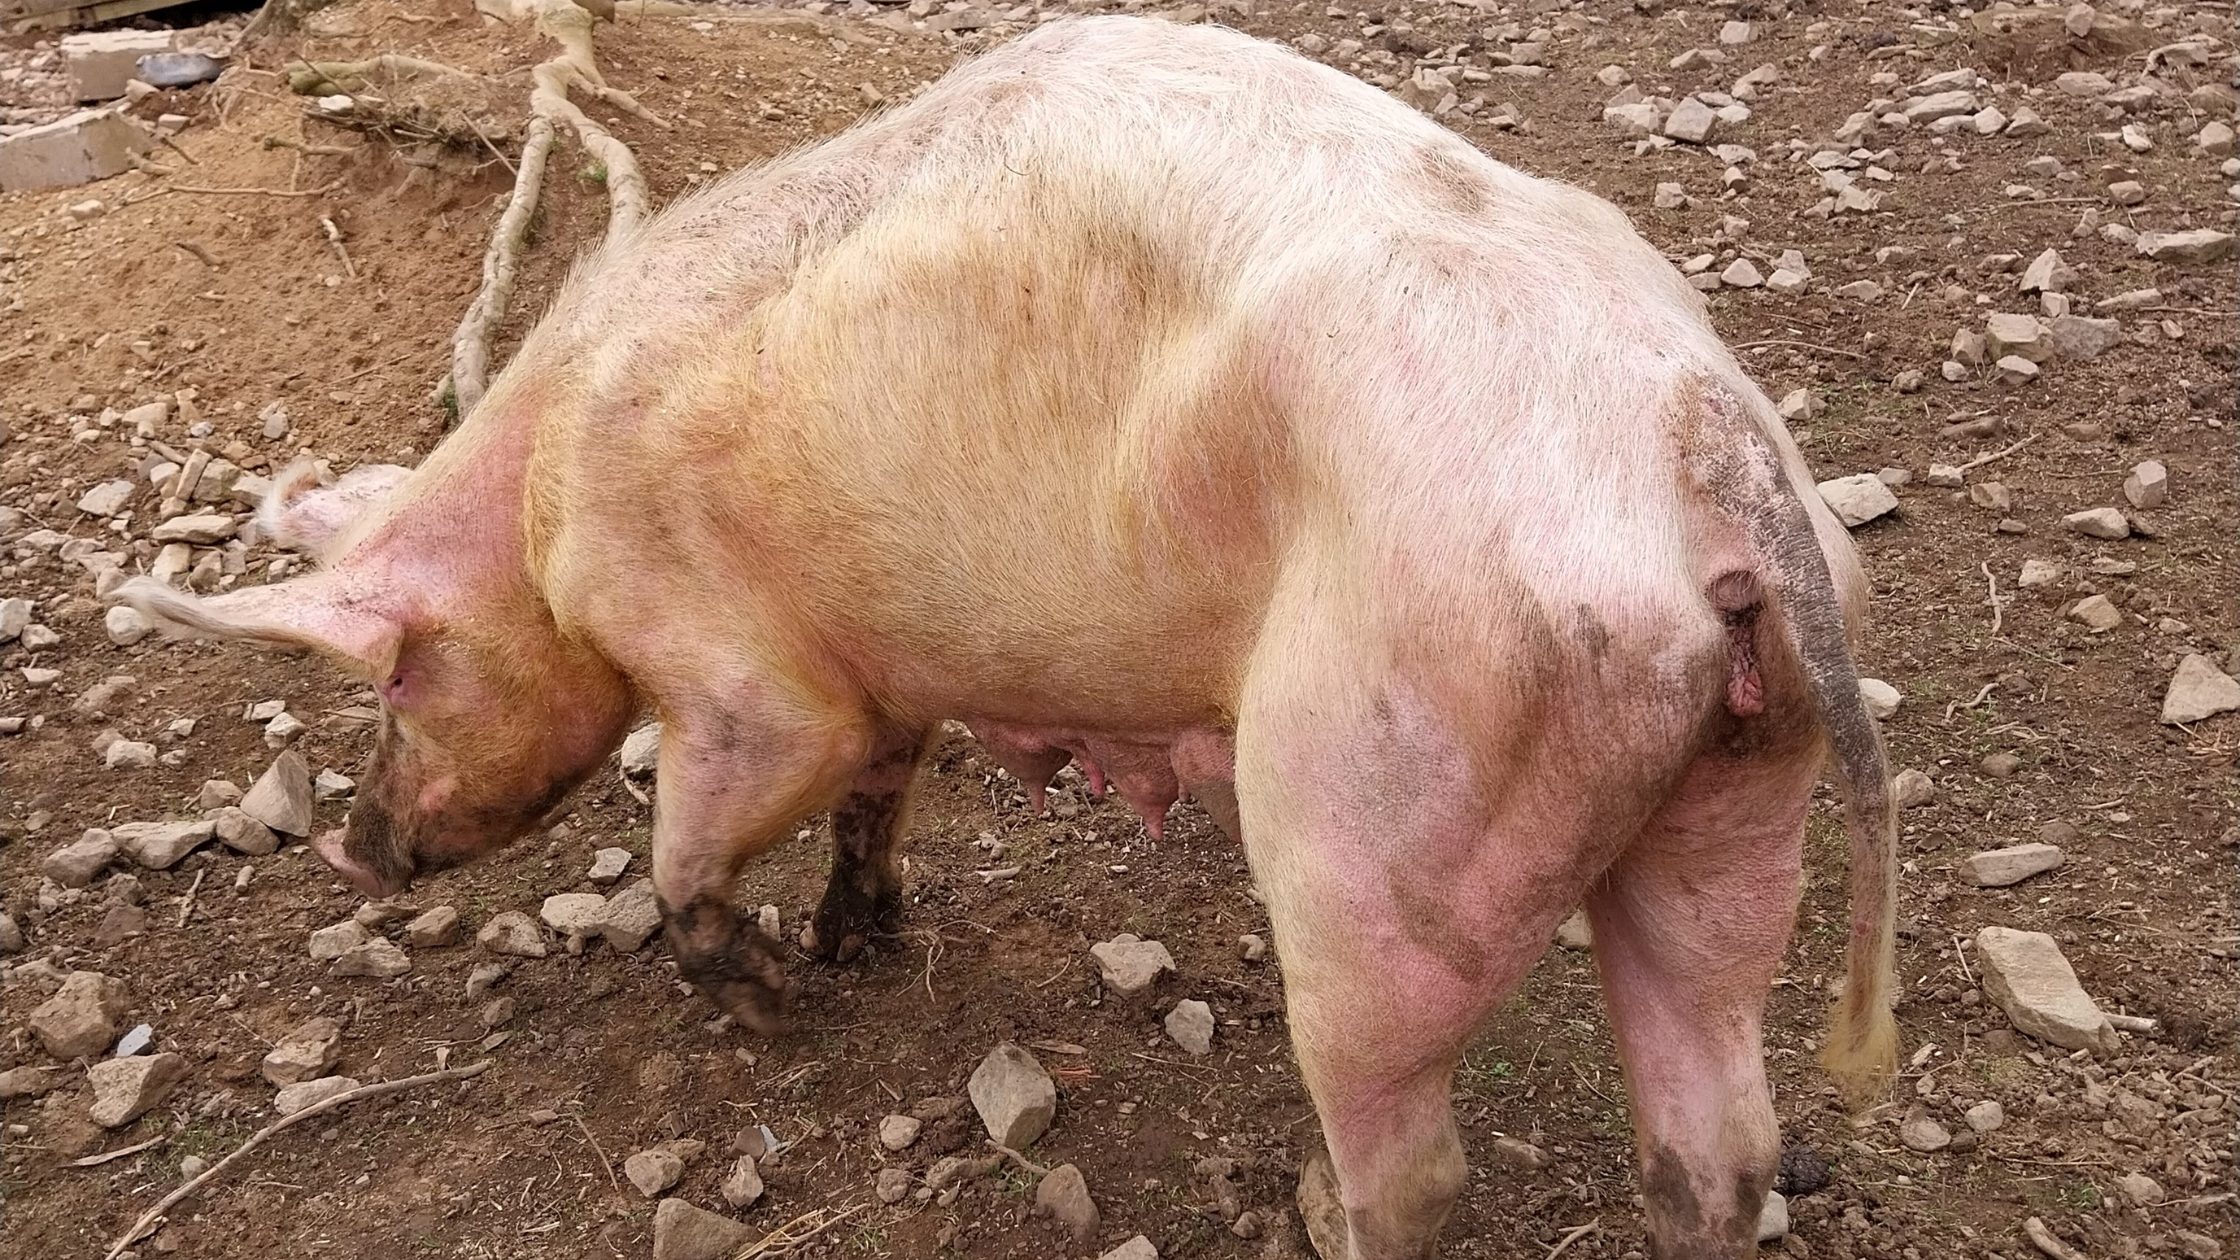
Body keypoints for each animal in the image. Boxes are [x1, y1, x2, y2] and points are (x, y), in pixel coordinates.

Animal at [119, 16, 1896, 1259]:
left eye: (398, 675)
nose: (348, 845)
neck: (547, 499)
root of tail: (1709, 461)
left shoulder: (739, 672)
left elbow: (712, 828)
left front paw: (775, 1004)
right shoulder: (887, 669)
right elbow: (881, 788)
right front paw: (858, 941)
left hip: (1382, 814)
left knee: (1421, 1155)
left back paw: (1321, 1209)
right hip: (1741, 793)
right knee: (1717, 1136)